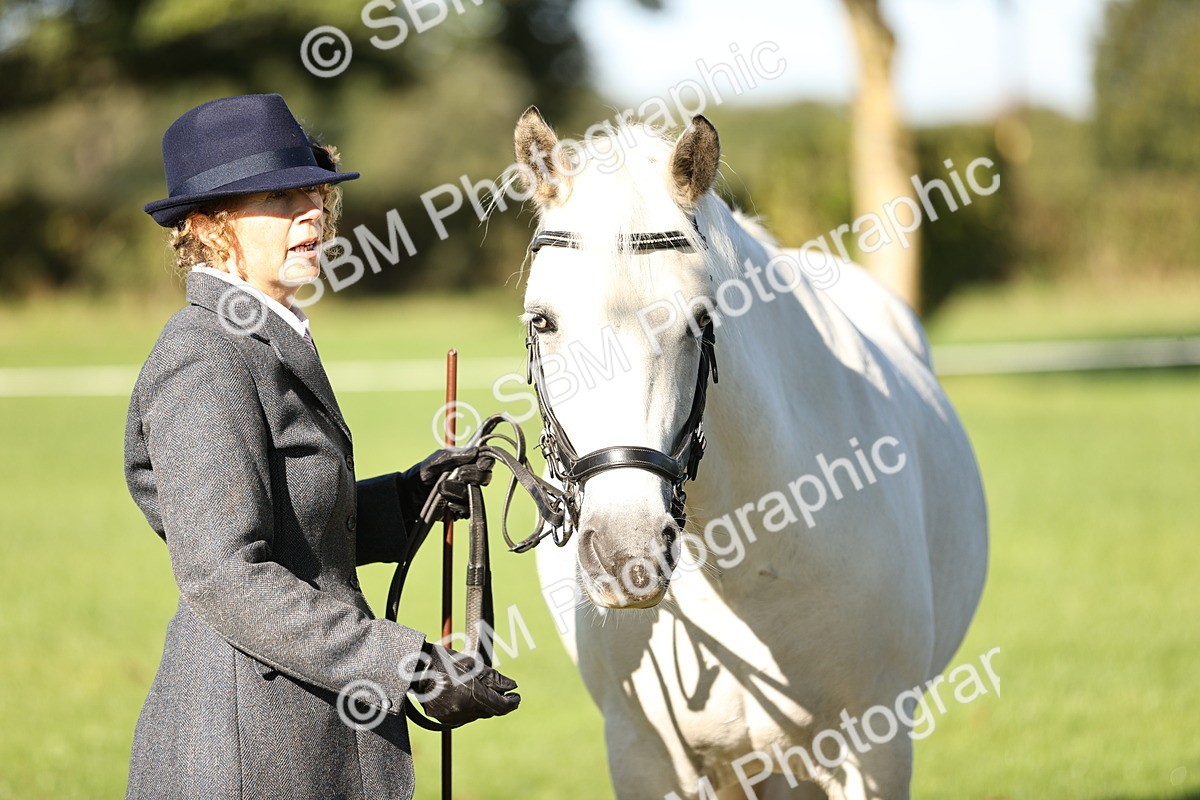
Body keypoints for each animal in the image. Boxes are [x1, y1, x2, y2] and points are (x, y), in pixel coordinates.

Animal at [512, 107, 988, 800]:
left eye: (699, 320)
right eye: (541, 320)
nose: (627, 554)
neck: (749, 558)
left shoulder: (876, 748)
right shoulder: (645, 755)